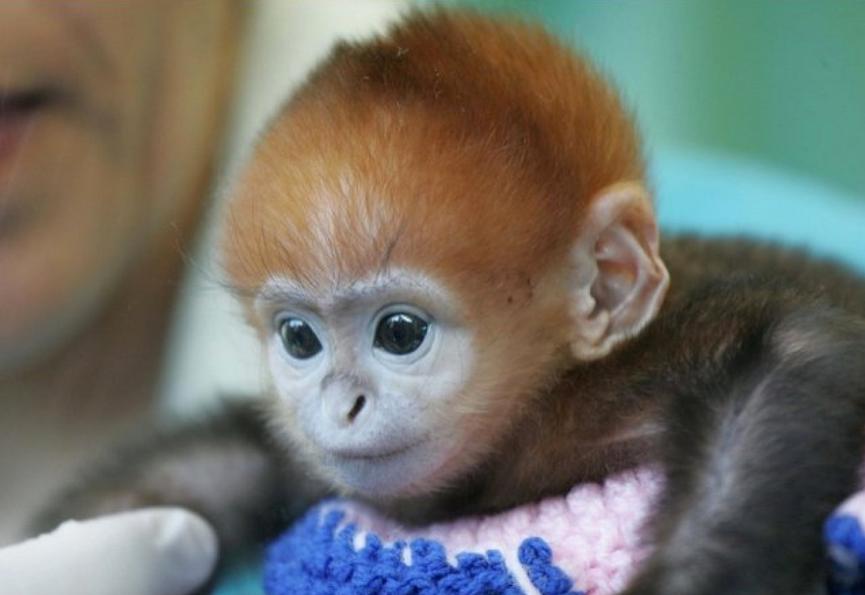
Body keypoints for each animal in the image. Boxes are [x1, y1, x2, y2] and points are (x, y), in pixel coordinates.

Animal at [34, 10, 865, 594]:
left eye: (400, 331)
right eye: (299, 338)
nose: (340, 405)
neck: (544, 403)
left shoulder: (637, 372)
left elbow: (798, 353)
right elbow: (232, 457)